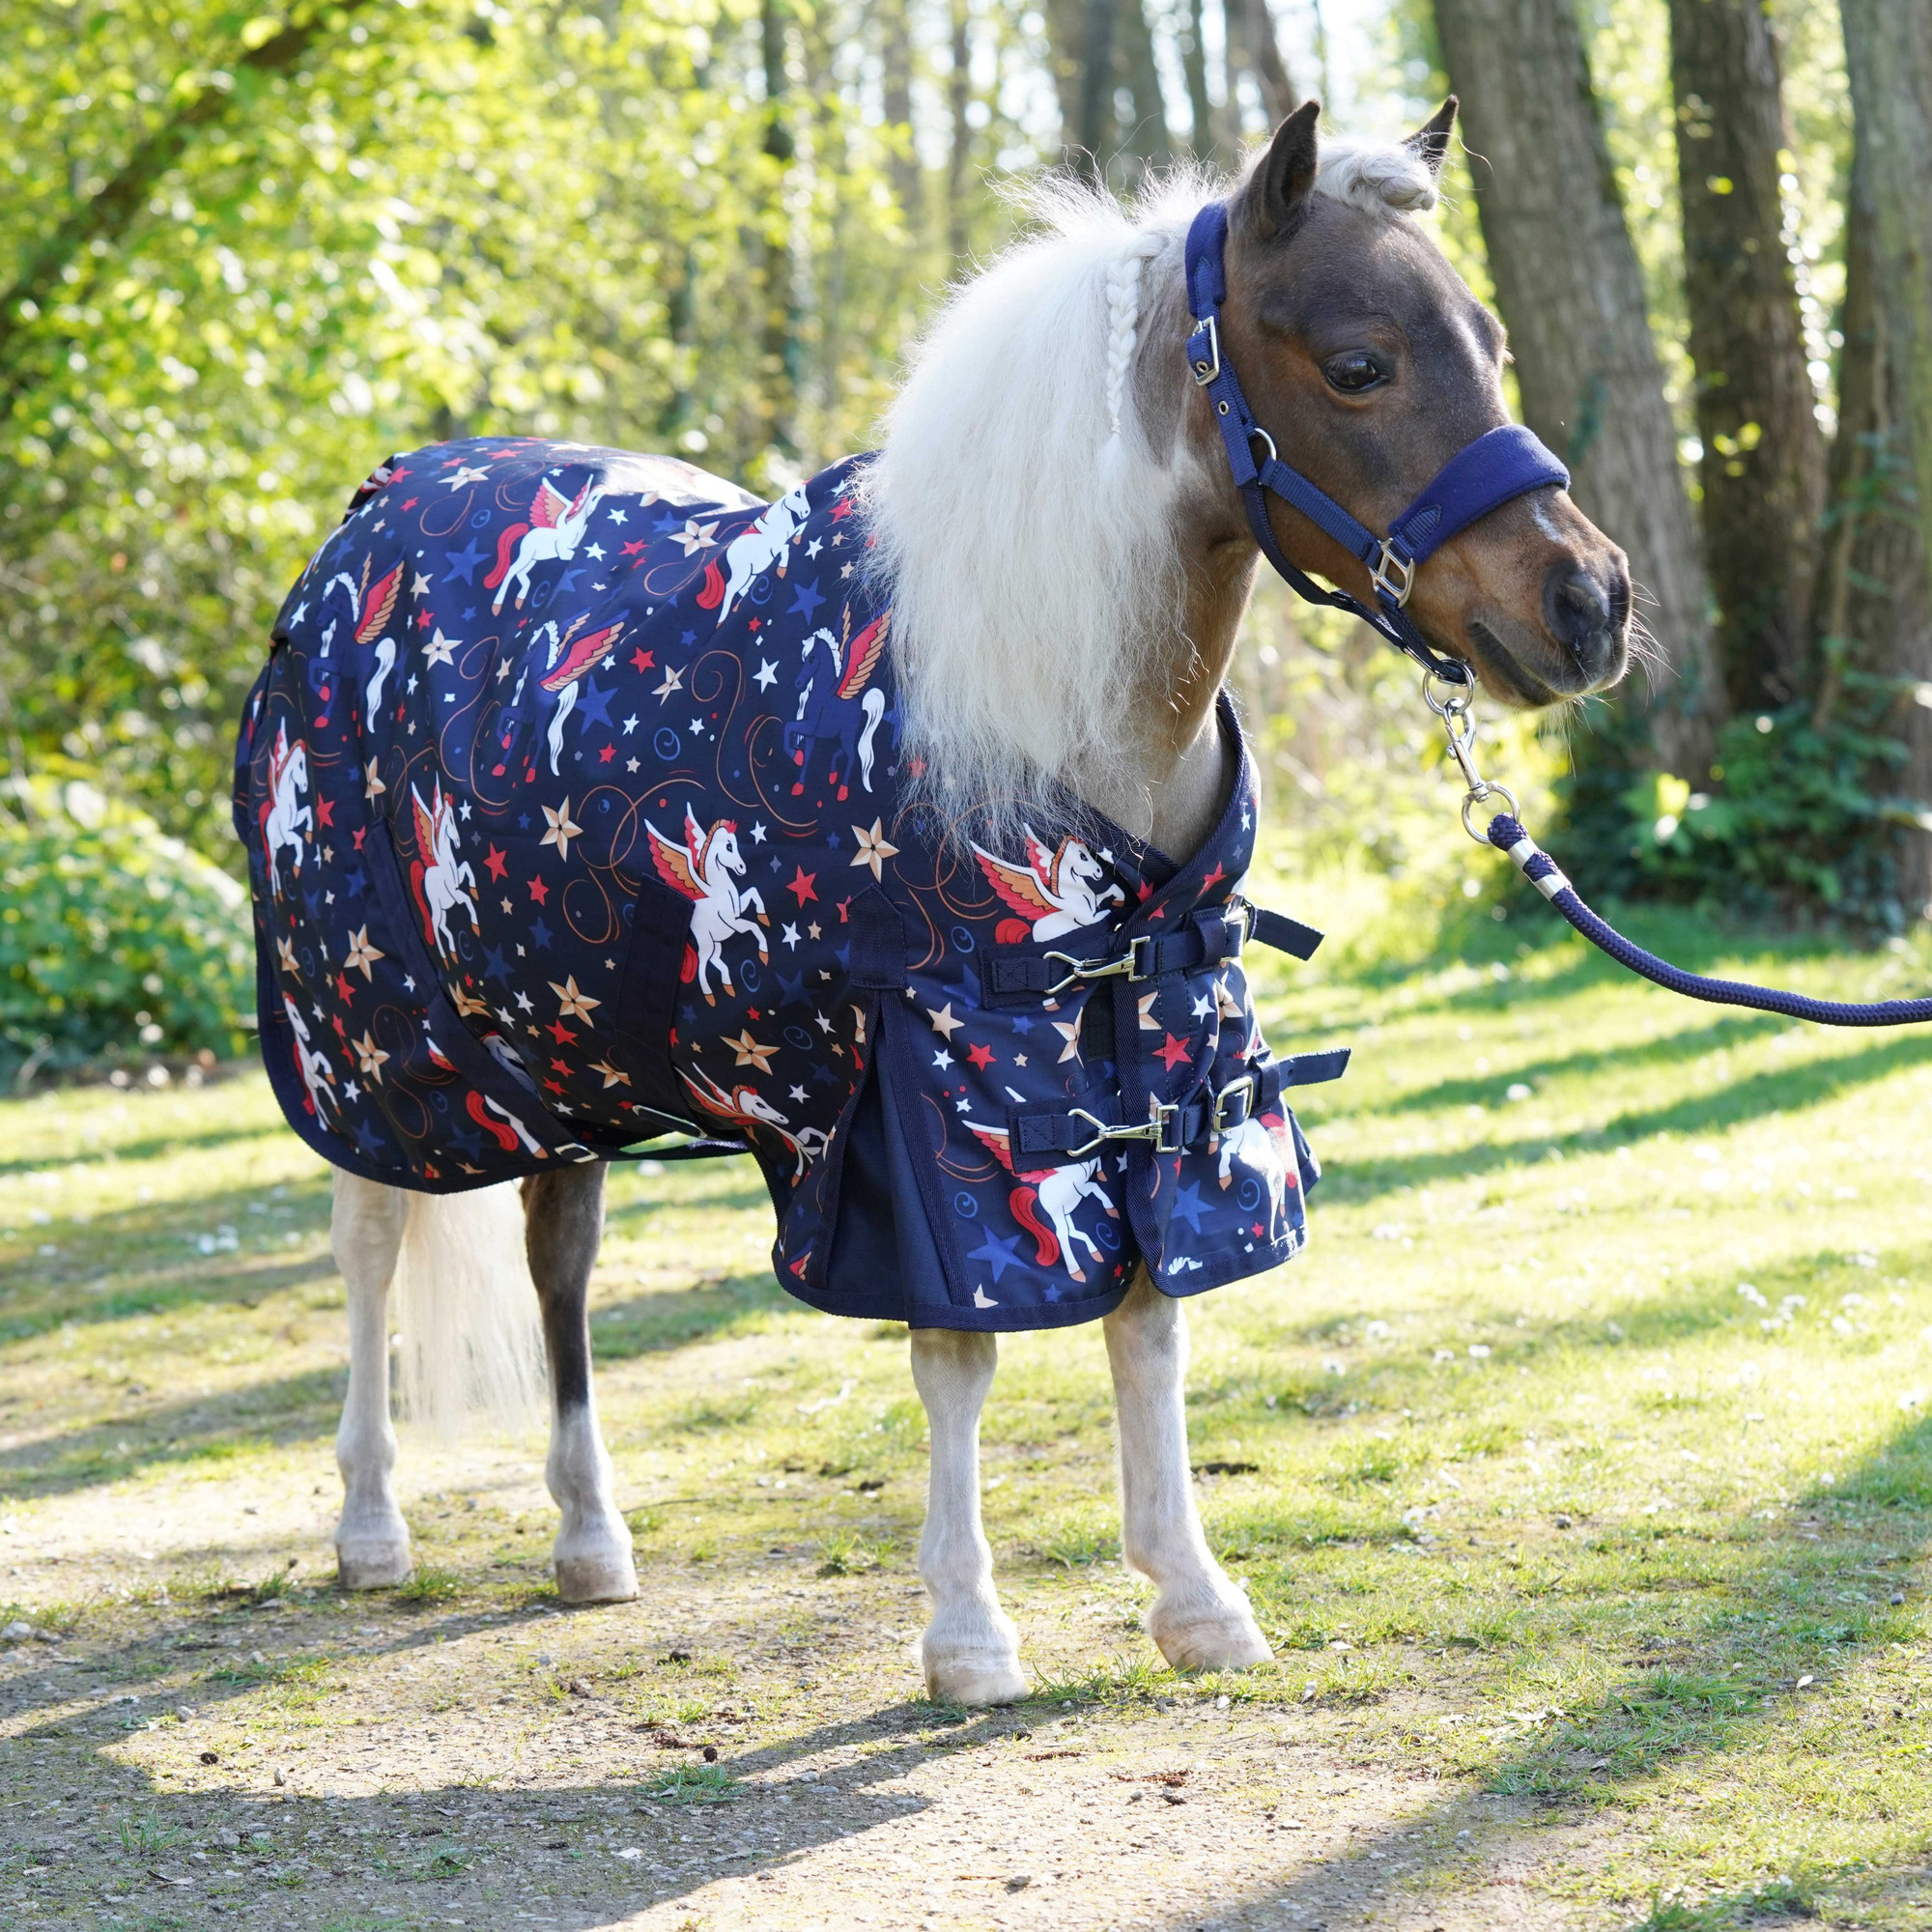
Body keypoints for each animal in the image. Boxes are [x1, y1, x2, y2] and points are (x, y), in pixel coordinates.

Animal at [285, 102, 1630, 1699]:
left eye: (1489, 339)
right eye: (1360, 362)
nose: (1591, 604)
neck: (1041, 694)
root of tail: (378, 509)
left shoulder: (1150, 1039)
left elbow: (1150, 1318)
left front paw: (1193, 1598)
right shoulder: (935, 1087)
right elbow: (959, 1353)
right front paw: (969, 1634)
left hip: (564, 1045)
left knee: (561, 1253)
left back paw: (588, 1538)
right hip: (378, 1043)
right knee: (372, 1244)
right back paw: (371, 1526)